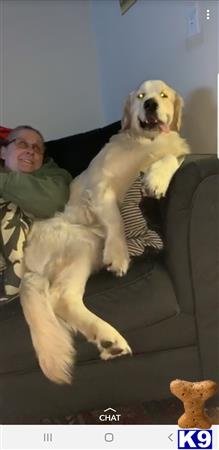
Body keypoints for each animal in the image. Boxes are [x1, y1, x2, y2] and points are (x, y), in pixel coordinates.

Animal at [20, 80, 190, 384]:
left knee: (64, 299)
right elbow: (114, 217)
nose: (150, 105)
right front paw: (119, 255)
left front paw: (156, 180)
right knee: (60, 296)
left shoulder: (174, 151)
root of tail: (27, 269)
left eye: (163, 95)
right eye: (140, 96)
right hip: (81, 240)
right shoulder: (99, 184)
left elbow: (173, 157)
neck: (144, 142)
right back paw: (108, 335)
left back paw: (108, 341)